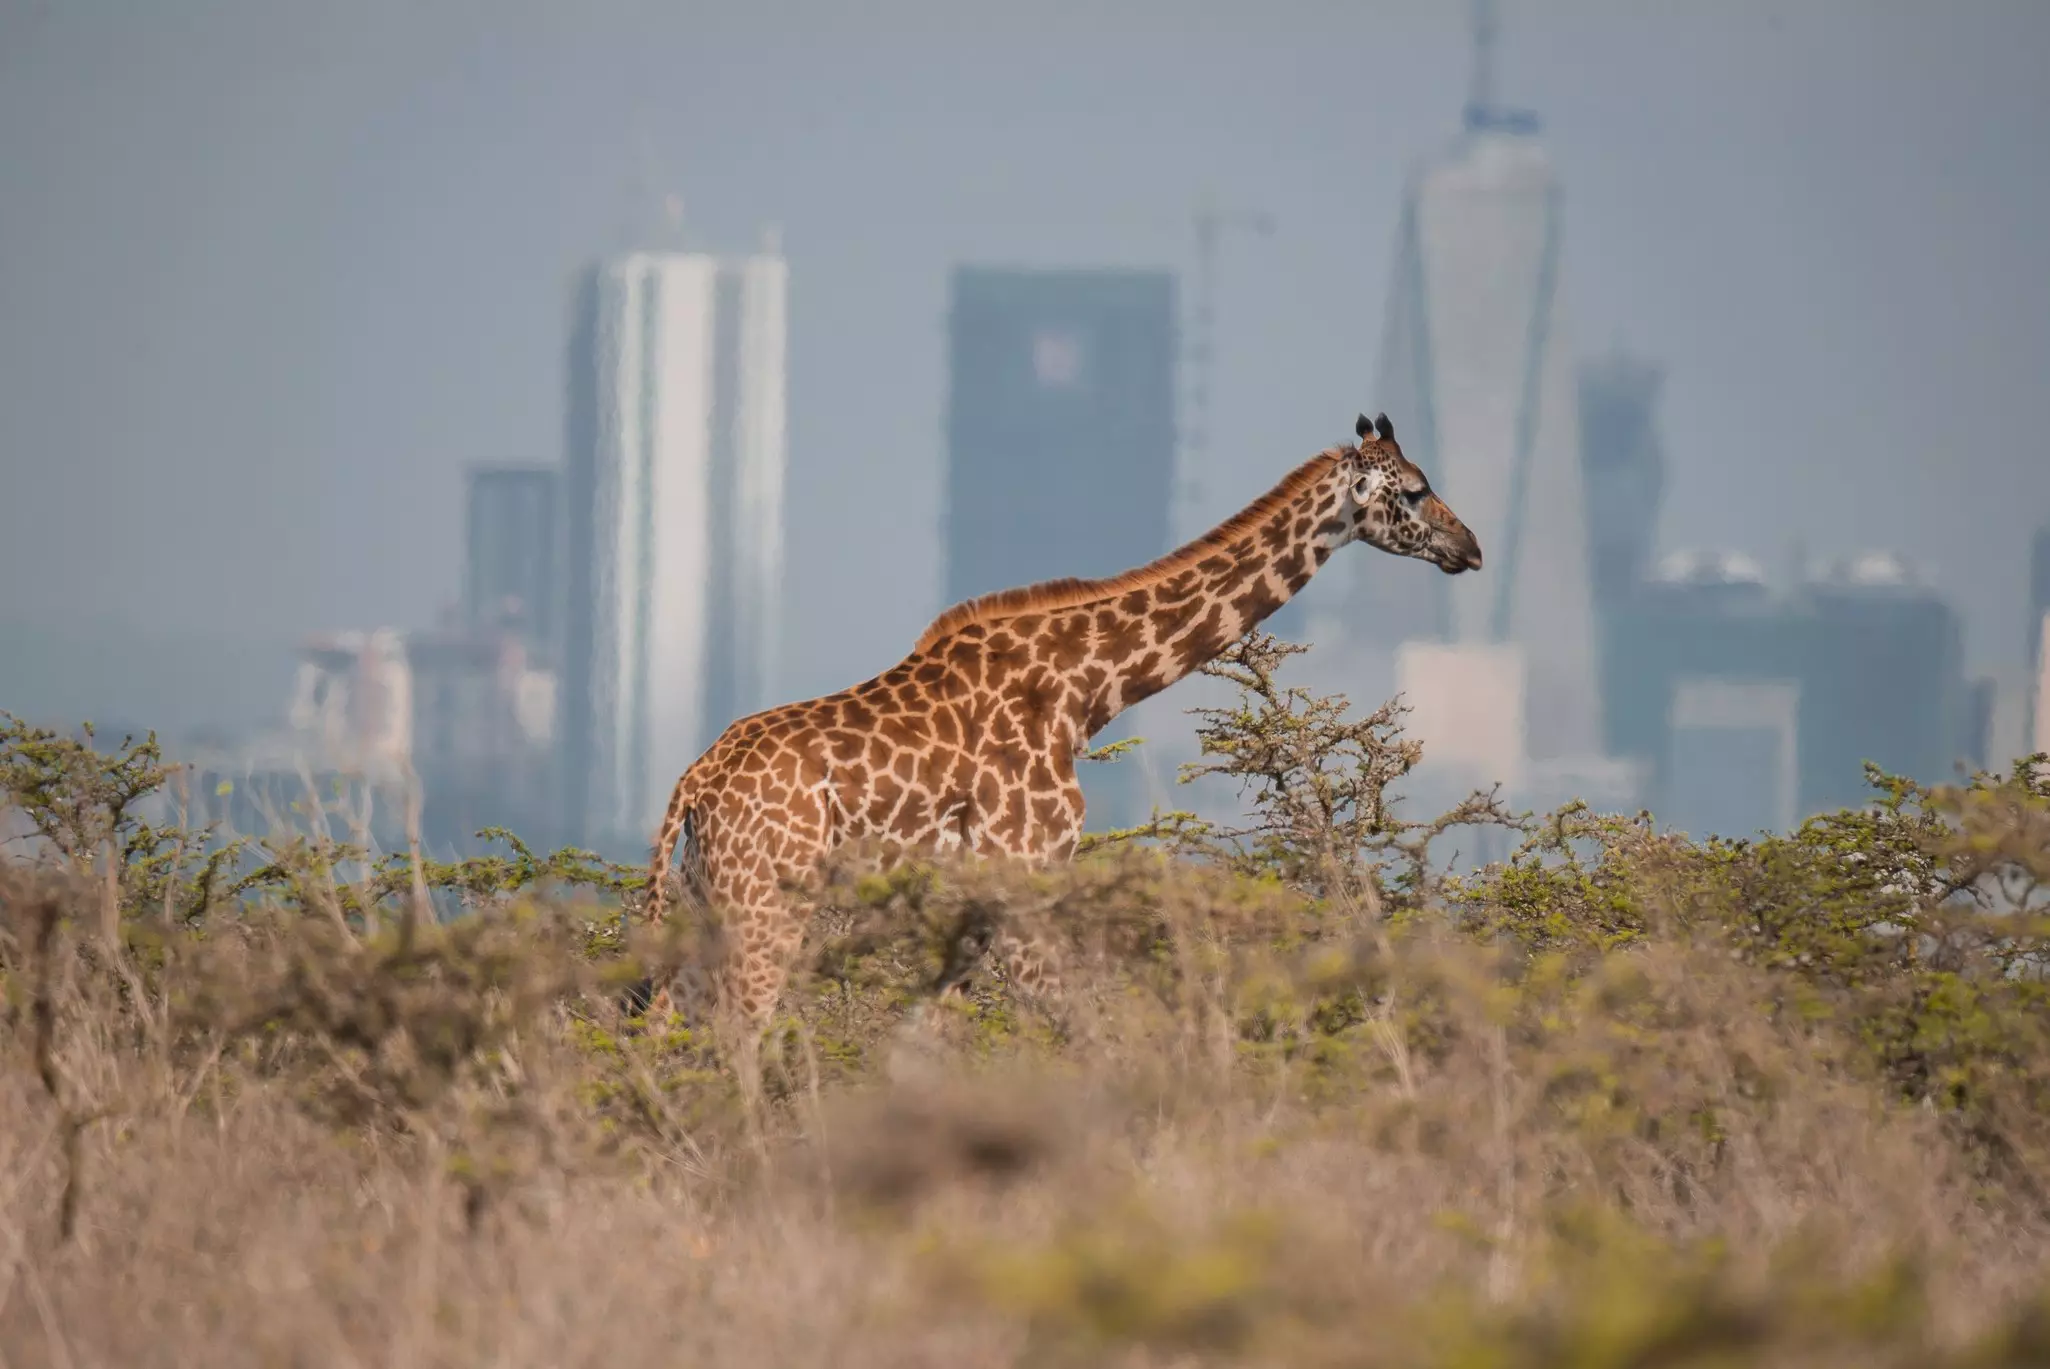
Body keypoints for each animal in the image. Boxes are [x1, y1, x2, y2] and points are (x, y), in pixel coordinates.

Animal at [635, 411, 1482, 1036]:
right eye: (1414, 490)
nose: (1469, 547)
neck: (1083, 692)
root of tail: (693, 783)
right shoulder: (1024, 877)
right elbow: (1085, 1031)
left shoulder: (979, 904)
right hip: (765, 906)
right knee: (737, 1035)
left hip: (707, 899)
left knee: (670, 1029)